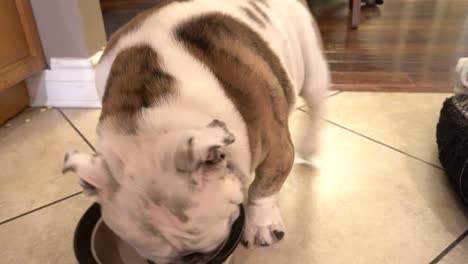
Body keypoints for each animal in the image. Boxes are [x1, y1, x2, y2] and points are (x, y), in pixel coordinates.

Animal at [63, 1, 330, 262]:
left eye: (199, 253)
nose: (187, 259)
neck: (151, 122)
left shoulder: (277, 148)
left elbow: (264, 186)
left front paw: (261, 223)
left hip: (312, 67)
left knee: (316, 107)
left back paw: (310, 147)